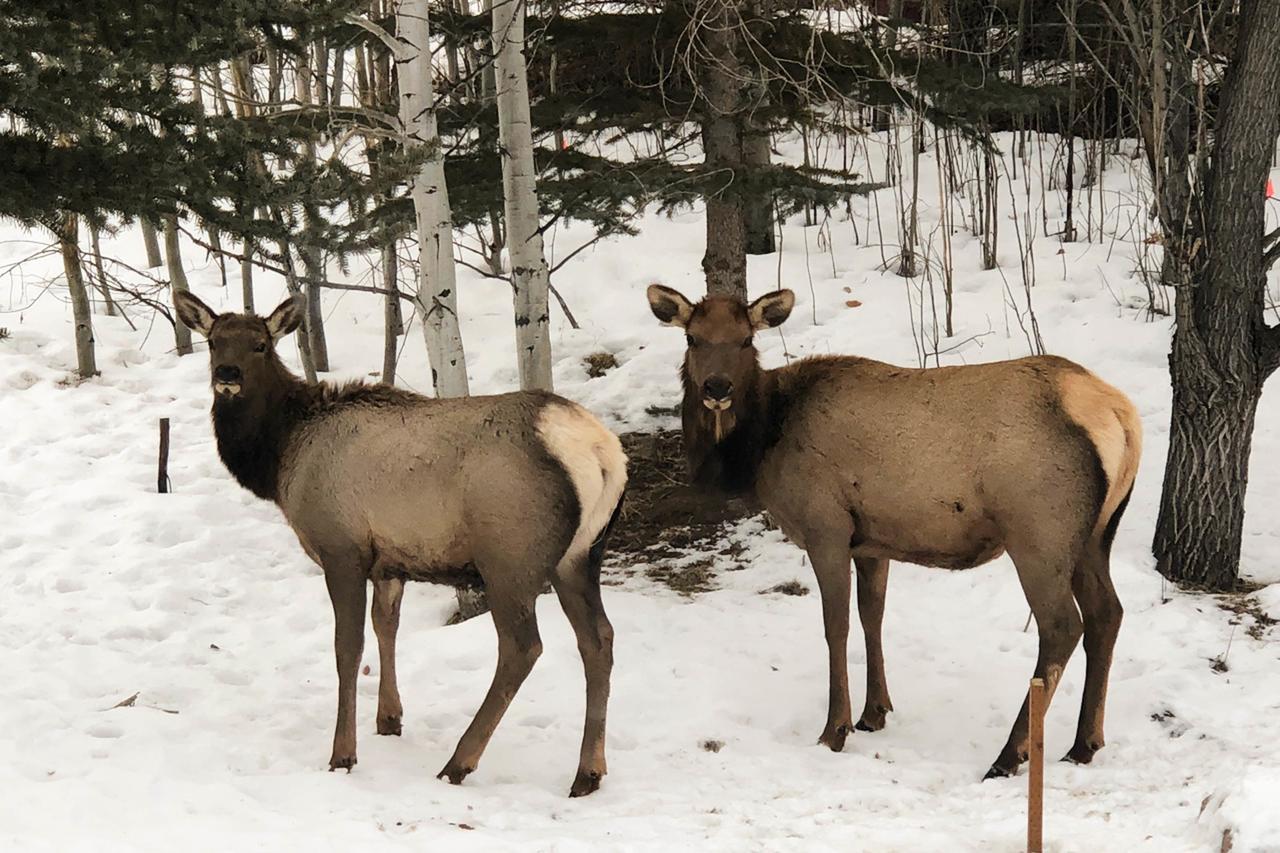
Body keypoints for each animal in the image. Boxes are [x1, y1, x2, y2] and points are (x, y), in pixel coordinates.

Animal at [174, 289, 624, 794]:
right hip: (581, 555)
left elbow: (347, 648)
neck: (280, 456)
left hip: (510, 557)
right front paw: (389, 719)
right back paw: (588, 771)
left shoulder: (341, 548)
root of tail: (601, 452)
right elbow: (385, 625)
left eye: (260, 345)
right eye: (214, 341)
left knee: (522, 647)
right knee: (599, 639)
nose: (227, 376)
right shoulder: (390, 560)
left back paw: (459, 761)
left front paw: (343, 753)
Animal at [650, 285, 1141, 778]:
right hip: (1095, 535)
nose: (717, 388)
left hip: (1039, 532)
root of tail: (1121, 415)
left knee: (1062, 627)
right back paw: (1084, 743)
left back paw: (1009, 755)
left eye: (746, 340)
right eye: (693, 338)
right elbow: (874, 615)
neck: (763, 444)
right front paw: (874, 712)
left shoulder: (825, 527)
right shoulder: (871, 540)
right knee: (1108, 613)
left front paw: (835, 730)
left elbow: (836, 626)